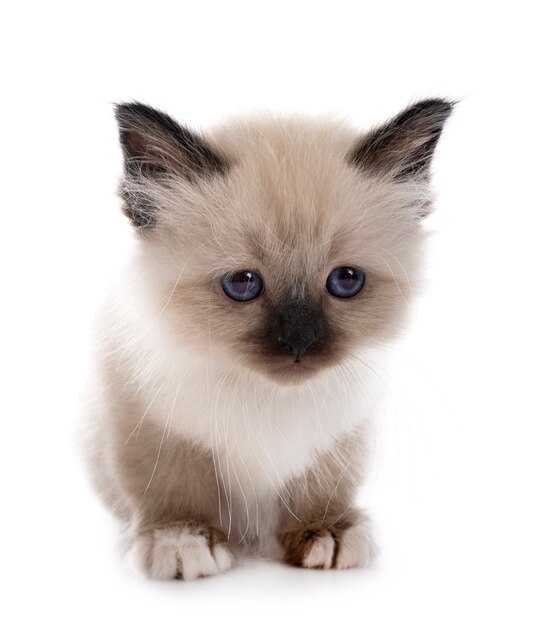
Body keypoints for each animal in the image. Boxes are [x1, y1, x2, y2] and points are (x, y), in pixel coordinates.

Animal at [84, 98, 450, 580]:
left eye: (346, 280)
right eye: (242, 284)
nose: (298, 343)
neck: (267, 396)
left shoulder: (339, 434)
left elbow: (320, 488)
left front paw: (327, 530)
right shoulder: (149, 422)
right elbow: (172, 486)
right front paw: (181, 538)